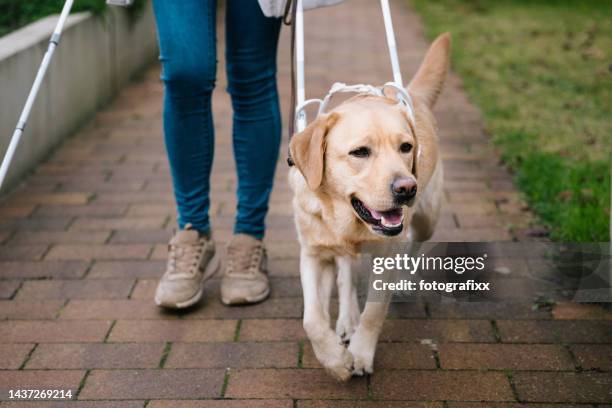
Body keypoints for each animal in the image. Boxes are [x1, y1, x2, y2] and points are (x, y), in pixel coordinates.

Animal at [286, 33, 450, 380]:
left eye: (406, 147)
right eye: (360, 152)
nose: (407, 188)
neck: (346, 219)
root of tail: (411, 93)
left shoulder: (386, 254)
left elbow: (374, 311)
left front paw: (360, 354)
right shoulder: (313, 253)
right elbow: (312, 320)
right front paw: (335, 361)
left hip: (428, 217)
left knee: (414, 243)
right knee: (346, 273)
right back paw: (347, 320)